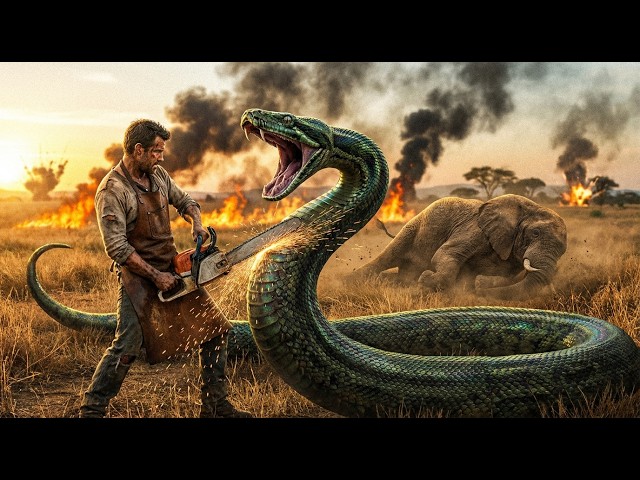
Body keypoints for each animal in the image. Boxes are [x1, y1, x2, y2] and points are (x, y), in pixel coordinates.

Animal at [350, 194, 568, 301]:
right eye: (535, 233)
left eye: (563, 250)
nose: (481, 293)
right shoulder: (475, 229)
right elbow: (445, 254)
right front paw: (427, 280)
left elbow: (503, 276)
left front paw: (472, 289)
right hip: (412, 227)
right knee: (388, 256)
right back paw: (349, 280)